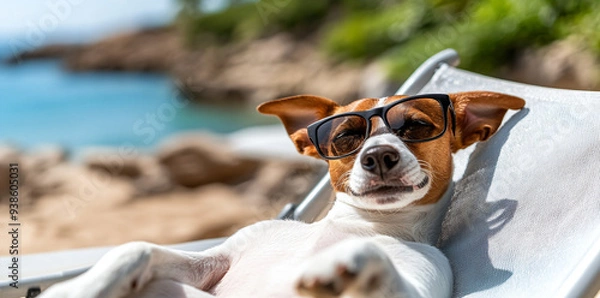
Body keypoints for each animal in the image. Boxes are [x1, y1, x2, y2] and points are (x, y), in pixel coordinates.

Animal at [39, 91, 524, 298]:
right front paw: (79, 287)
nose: (379, 156)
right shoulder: (210, 264)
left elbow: (378, 263)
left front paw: (354, 266)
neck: (357, 226)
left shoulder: (426, 279)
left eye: (418, 127)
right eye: (347, 137)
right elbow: (134, 249)